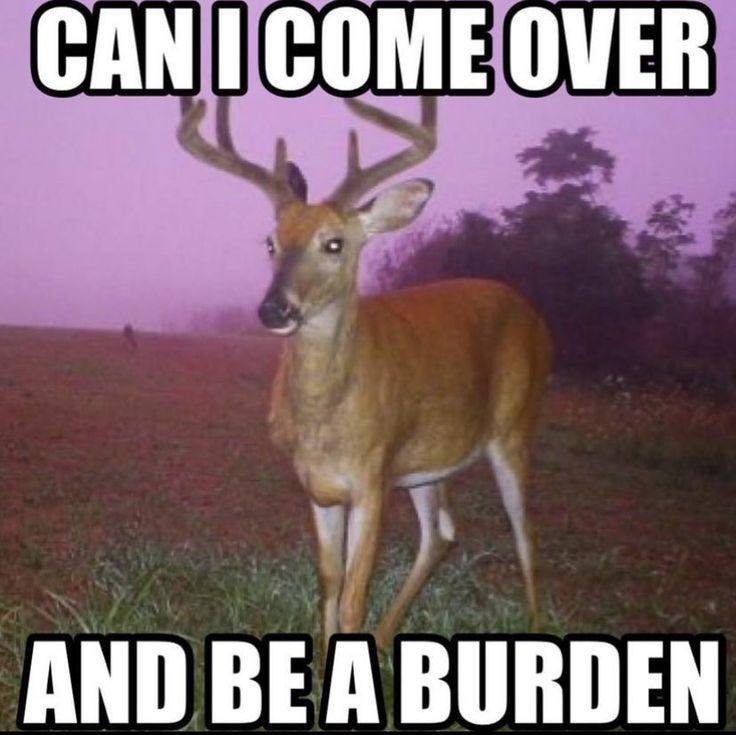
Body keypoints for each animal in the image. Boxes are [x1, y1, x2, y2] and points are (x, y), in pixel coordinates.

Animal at [176, 95, 553, 657]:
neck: (327, 421)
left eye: (333, 244)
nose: (273, 309)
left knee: (526, 535)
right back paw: (384, 638)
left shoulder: (372, 477)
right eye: (270, 241)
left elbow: (355, 596)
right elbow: (329, 583)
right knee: (441, 532)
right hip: (427, 461)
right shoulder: (317, 486)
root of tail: (538, 316)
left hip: (514, 425)